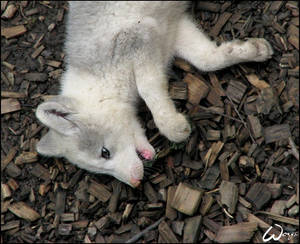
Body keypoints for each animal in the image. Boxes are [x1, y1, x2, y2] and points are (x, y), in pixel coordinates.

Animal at [35, 1, 274, 187]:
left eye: (105, 152)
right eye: (101, 171)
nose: (134, 182)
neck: (100, 80)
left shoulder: (138, 37)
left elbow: (148, 87)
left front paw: (173, 126)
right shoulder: (174, 29)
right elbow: (207, 60)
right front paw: (253, 50)